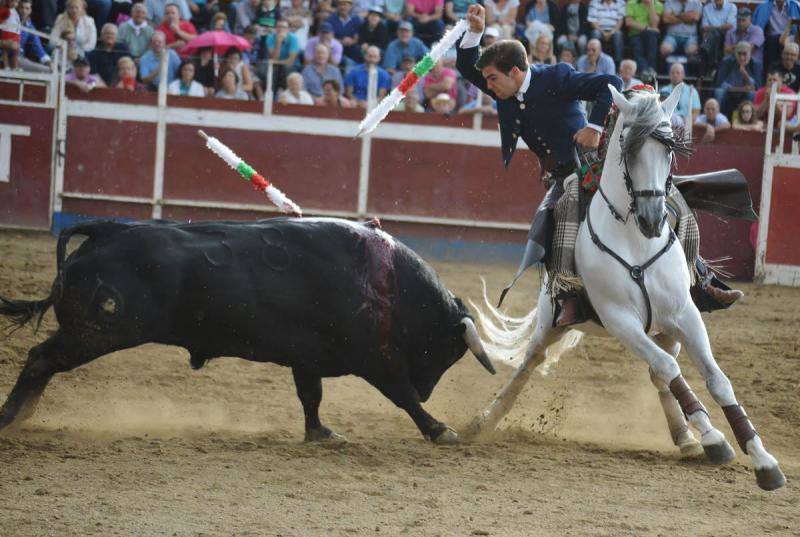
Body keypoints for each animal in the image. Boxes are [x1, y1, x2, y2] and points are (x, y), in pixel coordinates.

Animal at [0, 216, 494, 442]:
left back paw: (20, 414)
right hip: (97, 333)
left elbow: (311, 397)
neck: (388, 284)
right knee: (40, 359)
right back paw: (12, 416)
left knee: (42, 362)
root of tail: (107, 229)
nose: (430, 388)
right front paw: (439, 429)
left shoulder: (307, 358)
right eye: (448, 351)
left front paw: (320, 434)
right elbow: (402, 396)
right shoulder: (376, 359)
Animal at [468, 82, 788, 490]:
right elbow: (668, 368)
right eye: (628, 147)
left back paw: (687, 437)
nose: (652, 219)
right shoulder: (621, 320)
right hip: (551, 324)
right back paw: (485, 420)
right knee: (529, 363)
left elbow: (717, 380)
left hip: (664, 329)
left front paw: (761, 458)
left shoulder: (685, 314)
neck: (636, 240)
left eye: (669, 148)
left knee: (659, 374)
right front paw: (716, 438)